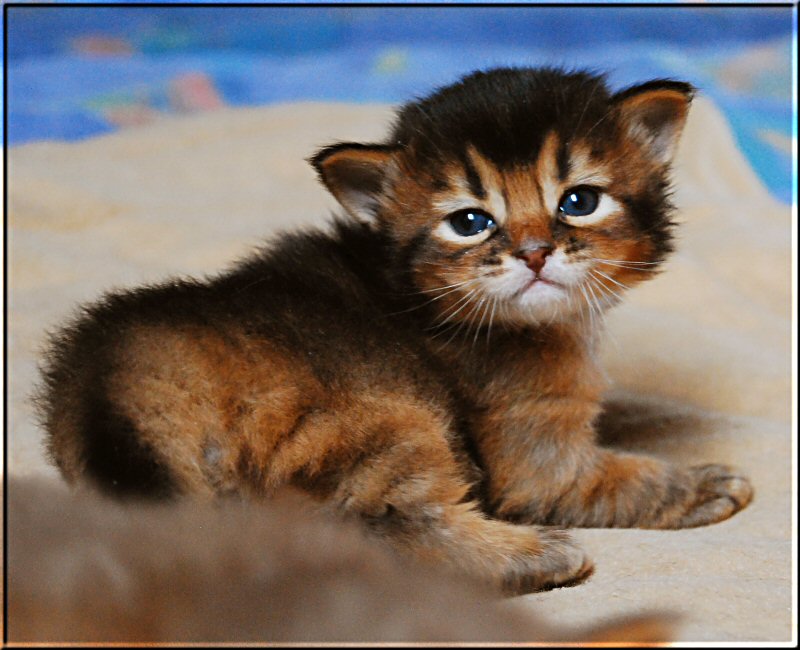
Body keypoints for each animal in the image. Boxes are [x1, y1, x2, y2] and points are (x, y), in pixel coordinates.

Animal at [36, 66, 752, 592]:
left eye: (579, 201)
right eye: (470, 222)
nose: (535, 253)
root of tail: (114, 382)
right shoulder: (539, 466)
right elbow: (616, 480)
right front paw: (703, 484)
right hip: (385, 418)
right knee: (379, 532)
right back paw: (535, 558)